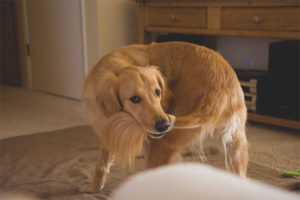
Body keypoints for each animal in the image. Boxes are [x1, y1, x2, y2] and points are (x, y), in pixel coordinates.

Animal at [79, 41, 248, 193]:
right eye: (135, 99)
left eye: (157, 92)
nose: (164, 125)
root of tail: (221, 83)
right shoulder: (107, 129)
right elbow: (101, 164)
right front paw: (94, 187)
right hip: (235, 146)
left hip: (162, 145)